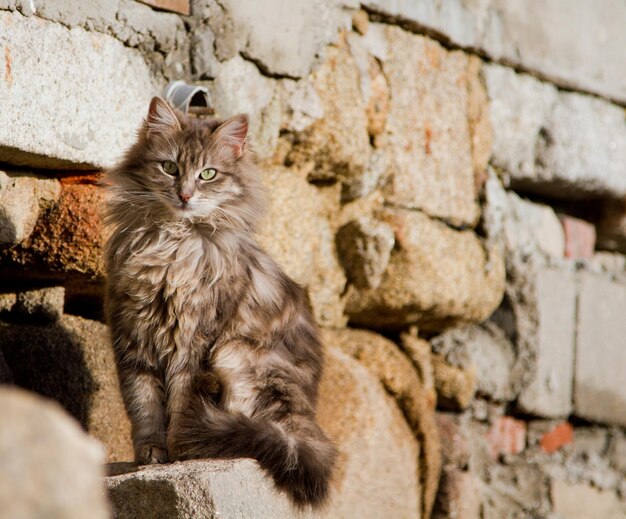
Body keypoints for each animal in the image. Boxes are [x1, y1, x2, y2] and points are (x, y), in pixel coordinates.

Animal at [103, 96, 336, 508]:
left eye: (208, 174)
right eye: (170, 167)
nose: (185, 196)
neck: (172, 244)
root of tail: (306, 423)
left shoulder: (194, 338)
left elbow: (180, 401)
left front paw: (181, 450)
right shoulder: (131, 333)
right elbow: (143, 405)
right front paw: (151, 454)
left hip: (236, 355)